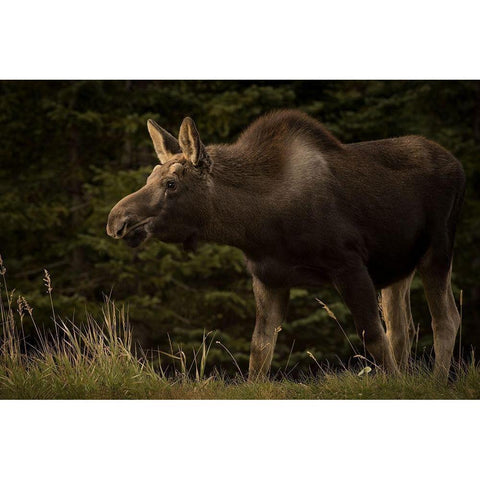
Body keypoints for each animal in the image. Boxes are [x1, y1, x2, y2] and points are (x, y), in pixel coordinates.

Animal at [106, 110, 464, 380]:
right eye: (150, 177)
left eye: (171, 183)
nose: (116, 220)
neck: (259, 225)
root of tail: (459, 166)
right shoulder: (269, 278)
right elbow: (259, 350)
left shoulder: (349, 264)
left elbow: (373, 337)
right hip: (397, 266)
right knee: (402, 327)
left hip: (438, 248)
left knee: (445, 318)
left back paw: (435, 382)